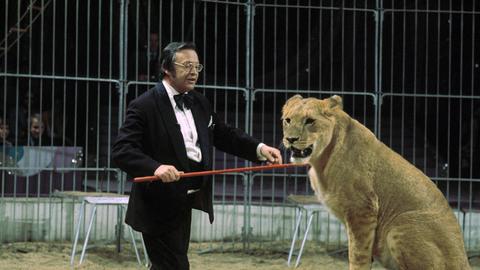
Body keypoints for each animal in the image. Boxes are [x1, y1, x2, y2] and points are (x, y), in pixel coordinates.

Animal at [282, 94, 468, 268]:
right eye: (287, 120)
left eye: (310, 121)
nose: (290, 139)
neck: (321, 160)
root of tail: (463, 261)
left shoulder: (362, 210)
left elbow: (358, 255)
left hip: (400, 224)